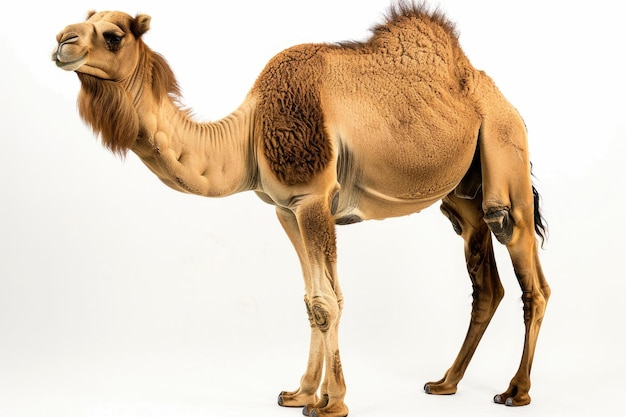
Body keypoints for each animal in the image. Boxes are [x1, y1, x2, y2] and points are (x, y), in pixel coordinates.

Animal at [52, 2, 552, 412]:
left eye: (113, 35)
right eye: (84, 24)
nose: (61, 41)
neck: (249, 131)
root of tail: (504, 101)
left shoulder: (313, 198)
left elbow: (329, 300)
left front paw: (333, 403)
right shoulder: (286, 208)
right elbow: (314, 300)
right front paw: (301, 394)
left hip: (504, 153)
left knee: (529, 272)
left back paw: (516, 391)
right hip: (462, 197)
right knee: (486, 284)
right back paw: (445, 383)